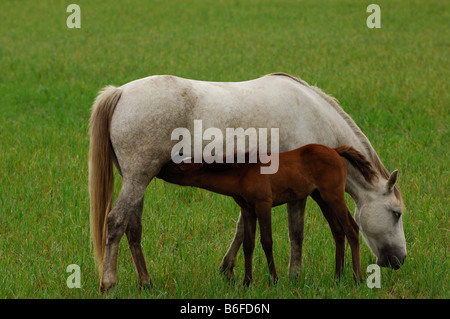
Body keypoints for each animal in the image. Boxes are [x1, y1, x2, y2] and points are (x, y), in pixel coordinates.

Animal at [89, 72, 406, 292]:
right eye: (396, 213)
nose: (399, 260)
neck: (313, 115)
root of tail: (120, 92)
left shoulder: (254, 193)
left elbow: (243, 229)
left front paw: (229, 269)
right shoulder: (296, 193)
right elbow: (295, 233)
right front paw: (293, 276)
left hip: (136, 180)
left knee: (133, 228)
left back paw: (146, 282)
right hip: (137, 178)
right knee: (116, 222)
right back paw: (109, 283)